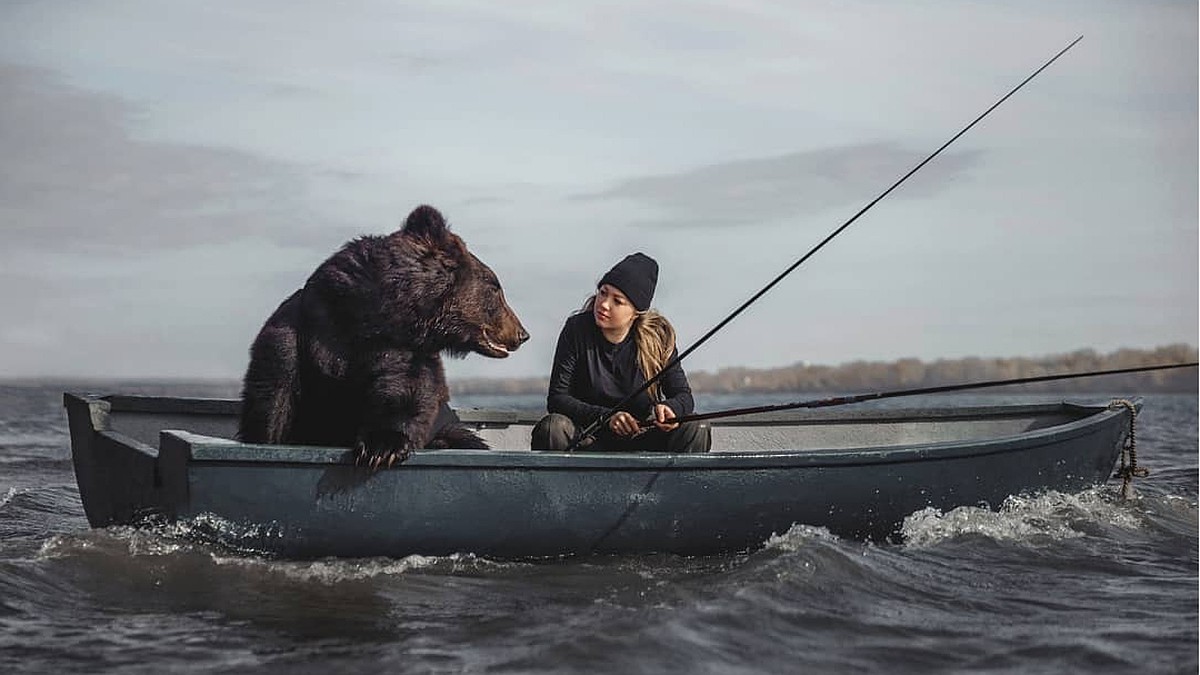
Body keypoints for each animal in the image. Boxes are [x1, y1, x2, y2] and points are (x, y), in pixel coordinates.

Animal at [236, 201, 528, 466]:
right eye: (495, 287)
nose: (522, 333)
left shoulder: (402, 349)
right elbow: (273, 400)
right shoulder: (302, 331)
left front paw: (382, 447)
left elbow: (404, 390)